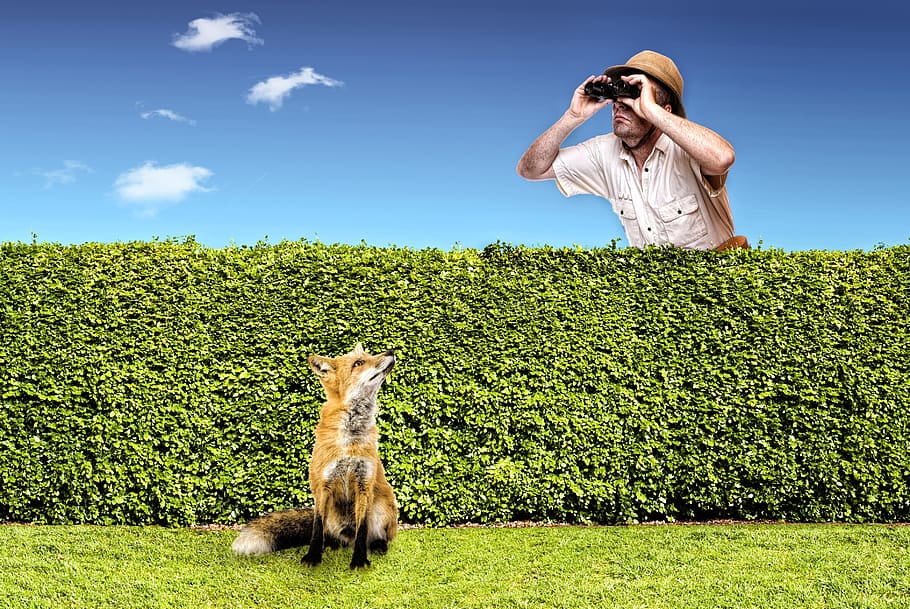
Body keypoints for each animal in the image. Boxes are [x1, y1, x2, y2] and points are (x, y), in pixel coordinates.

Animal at [231, 343, 398, 569]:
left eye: (368, 355)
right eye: (359, 362)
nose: (391, 351)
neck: (349, 442)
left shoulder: (364, 483)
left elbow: (362, 530)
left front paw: (359, 560)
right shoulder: (323, 484)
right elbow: (317, 529)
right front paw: (313, 557)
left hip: (382, 507)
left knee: (372, 536)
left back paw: (378, 545)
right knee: (330, 534)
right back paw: (332, 545)